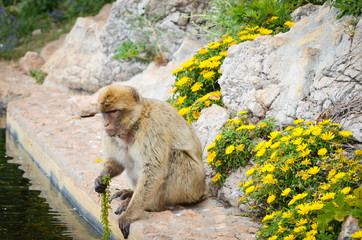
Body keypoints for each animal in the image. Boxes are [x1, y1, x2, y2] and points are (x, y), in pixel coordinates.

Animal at [93, 85, 206, 239]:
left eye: (114, 112)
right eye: (105, 114)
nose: (106, 124)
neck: (134, 124)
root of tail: (202, 188)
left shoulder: (152, 128)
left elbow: (154, 169)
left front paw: (130, 214)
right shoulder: (111, 134)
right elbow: (116, 163)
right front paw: (101, 179)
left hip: (191, 185)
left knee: (173, 156)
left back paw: (150, 205)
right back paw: (131, 193)